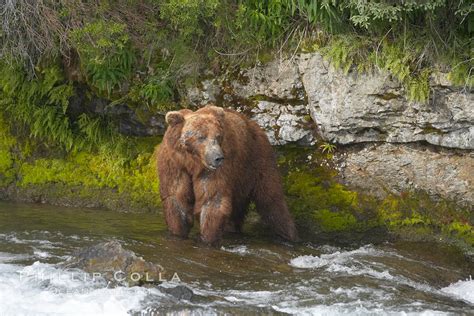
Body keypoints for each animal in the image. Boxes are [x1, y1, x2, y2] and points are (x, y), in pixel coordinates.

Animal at [156, 105, 296, 246]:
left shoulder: (217, 169)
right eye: (201, 137)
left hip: (257, 161)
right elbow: (176, 197)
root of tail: (255, 125)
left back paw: (289, 236)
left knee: (271, 200)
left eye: (218, 136)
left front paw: (207, 240)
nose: (218, 158)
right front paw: (178, 233)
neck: (193, 162)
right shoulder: (174, 164)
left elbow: (212, 199)